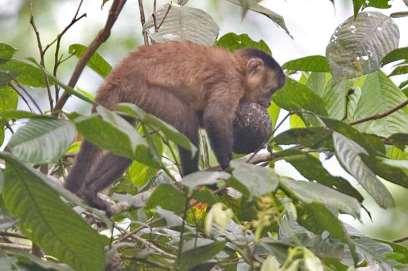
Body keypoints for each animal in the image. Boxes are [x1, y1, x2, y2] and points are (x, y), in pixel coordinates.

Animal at [65, 42, 286, 212]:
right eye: (270, 91)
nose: (268, 103)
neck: (238, 67)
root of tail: (117, 76)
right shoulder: (231, 80)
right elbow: (214, 117)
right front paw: (228, 169)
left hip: (125, 101)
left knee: (127, 145)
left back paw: (89, 191)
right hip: (143, 91)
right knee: (186, 121)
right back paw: (191, 176)